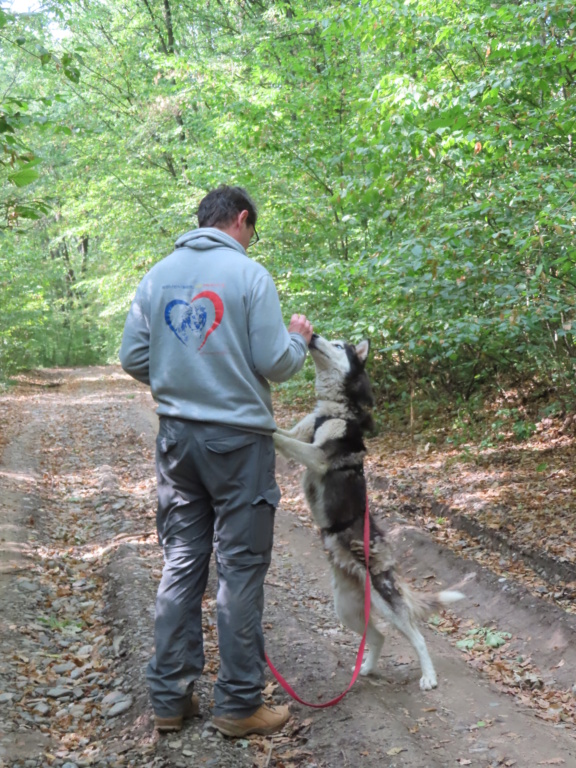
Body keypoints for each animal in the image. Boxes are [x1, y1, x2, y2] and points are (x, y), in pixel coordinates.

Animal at [272, 332, 466, 692]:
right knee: (378, 637)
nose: (313, 334)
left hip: (384, 602)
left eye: (338, 345)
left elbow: (279, 437)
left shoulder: (318, 455)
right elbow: (284, 434)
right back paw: (365, 670)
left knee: (417, 637)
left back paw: (429, 677)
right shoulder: (301, 434)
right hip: (346, 608)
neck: (334, 410)